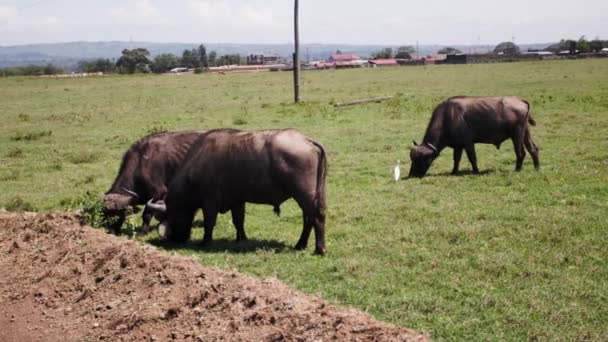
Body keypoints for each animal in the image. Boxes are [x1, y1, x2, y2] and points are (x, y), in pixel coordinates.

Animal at [147, 130, 328, 255]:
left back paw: (319, 249)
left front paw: (205, 242)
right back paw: (300, 245)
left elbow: (209, 222)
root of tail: (306, 140)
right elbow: (238, 221)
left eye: (170, 217)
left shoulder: (210, 202)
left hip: (304, 195)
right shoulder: (237, 200)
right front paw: (241, 239)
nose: (175, 239)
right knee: (309, 219)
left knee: (316, 217)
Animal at [408, 95, 540, 178]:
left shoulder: (468, 143)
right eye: (412, 158)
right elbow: (456, 159)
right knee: (533, 149)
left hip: (517, 134)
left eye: (422, 159)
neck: (448, 116)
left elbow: (472, 158)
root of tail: (520, 100)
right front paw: (454, 171)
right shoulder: (458, 146)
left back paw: (517, 169)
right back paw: (537, 168)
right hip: (525, 132)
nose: (412, 175)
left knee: (521, 152)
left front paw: (476, 171)